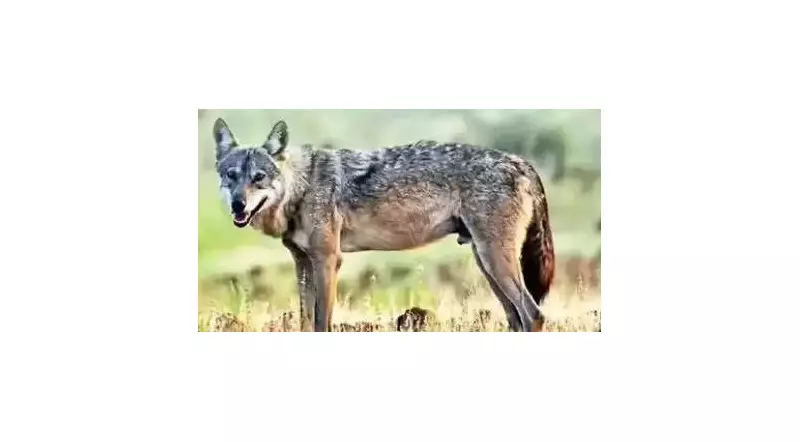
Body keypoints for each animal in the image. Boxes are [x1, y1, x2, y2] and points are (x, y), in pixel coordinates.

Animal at [211, 118, 555, 332]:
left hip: (495, 261)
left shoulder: (328, 261)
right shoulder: (303, 264)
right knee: (516, 318)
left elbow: (322, 321)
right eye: (231, 176)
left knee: (534, 315)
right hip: (487, 264)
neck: (303, 186)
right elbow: (304, 321)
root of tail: (520, 161)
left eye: (259, 177)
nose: (238, 206)